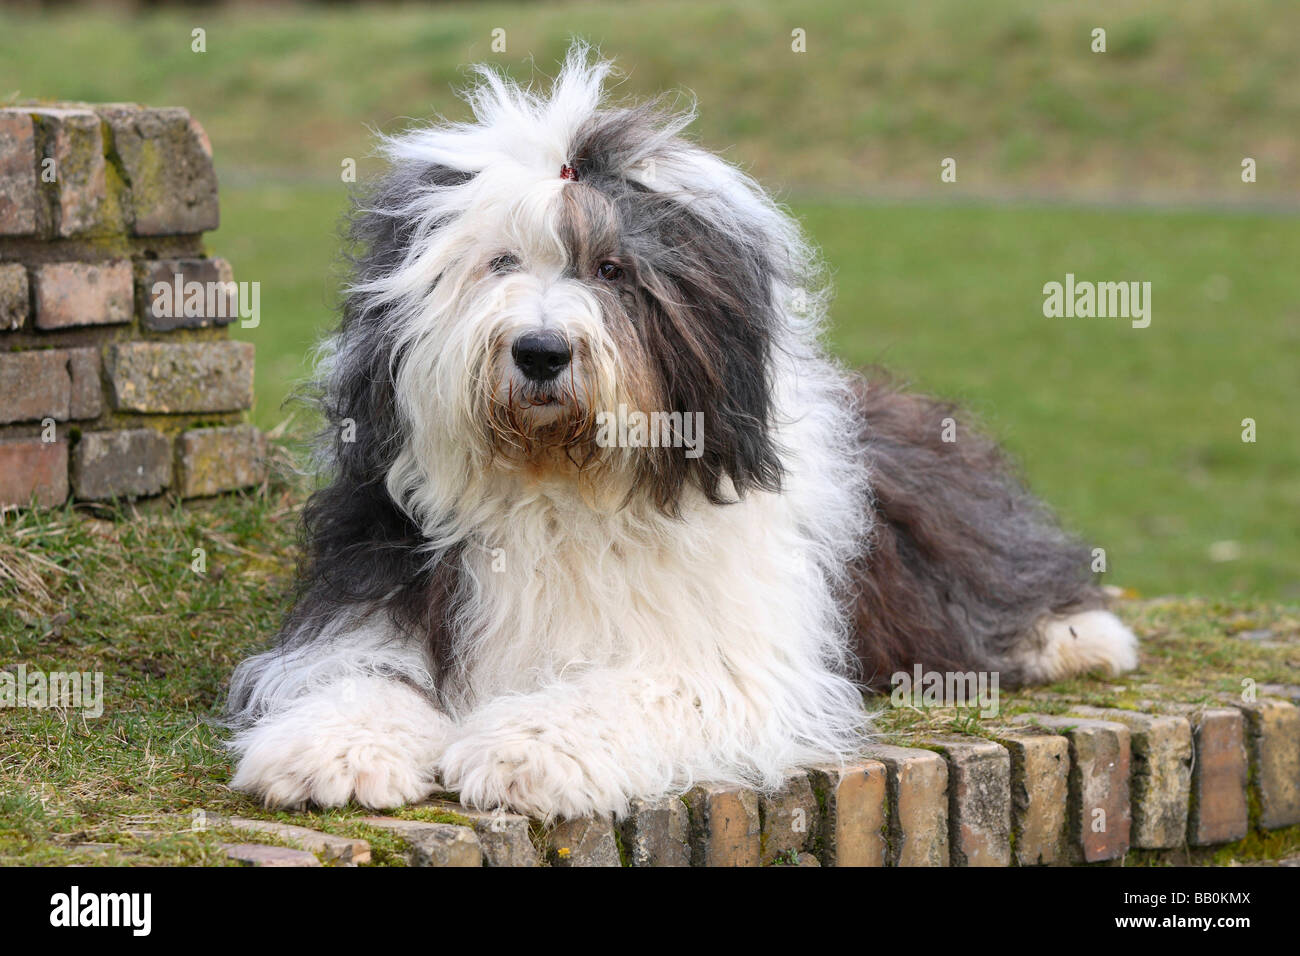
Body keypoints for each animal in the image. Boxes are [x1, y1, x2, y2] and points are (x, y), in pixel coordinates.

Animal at [226, 46, 1138, 822]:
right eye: (500, 263)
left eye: (612, 271)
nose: (541, 351)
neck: (556, 488)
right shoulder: (380, 593)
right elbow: (357, 672)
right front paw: (334, 752)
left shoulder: (724, 661)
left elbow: (637, 686)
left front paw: (525, 750)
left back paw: (1080, 638)